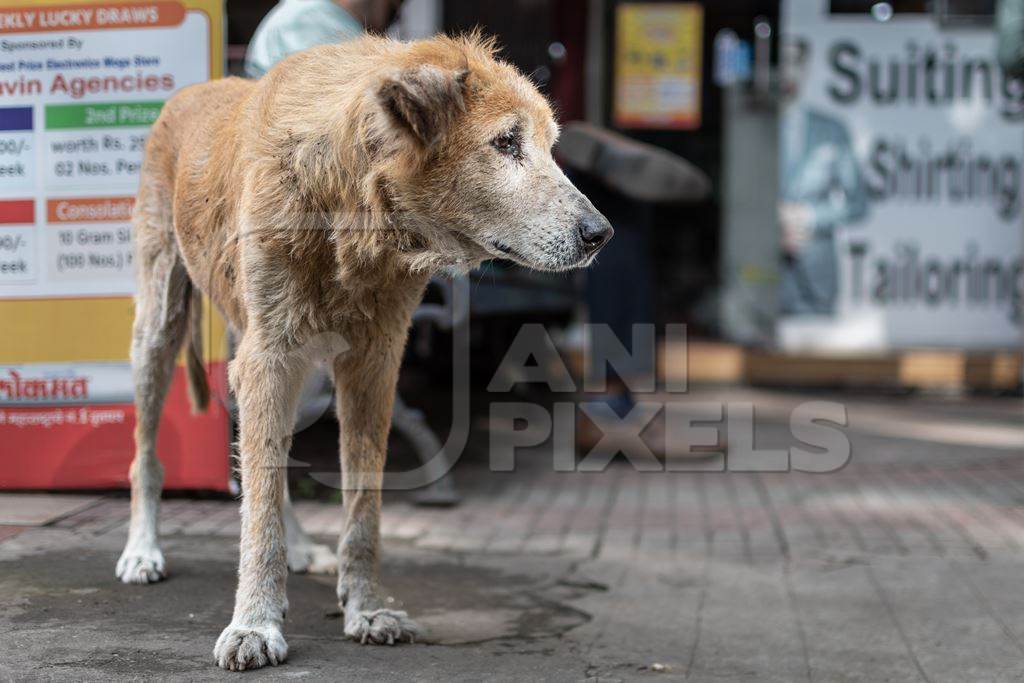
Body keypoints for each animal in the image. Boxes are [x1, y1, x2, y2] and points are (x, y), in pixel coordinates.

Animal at [117, 34, 614, 671]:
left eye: (550, 146)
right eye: (506, 142)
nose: (601, 234)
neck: (351, 203)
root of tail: (193, 91)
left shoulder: (372, 363)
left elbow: (362, 508)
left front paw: (366, 608)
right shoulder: (268, 358)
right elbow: (258, 509)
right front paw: (254, 622)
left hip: (296, 372)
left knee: (272, 465)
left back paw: (299, 547)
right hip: (160, 330)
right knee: (149, 453)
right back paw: (142, 550)